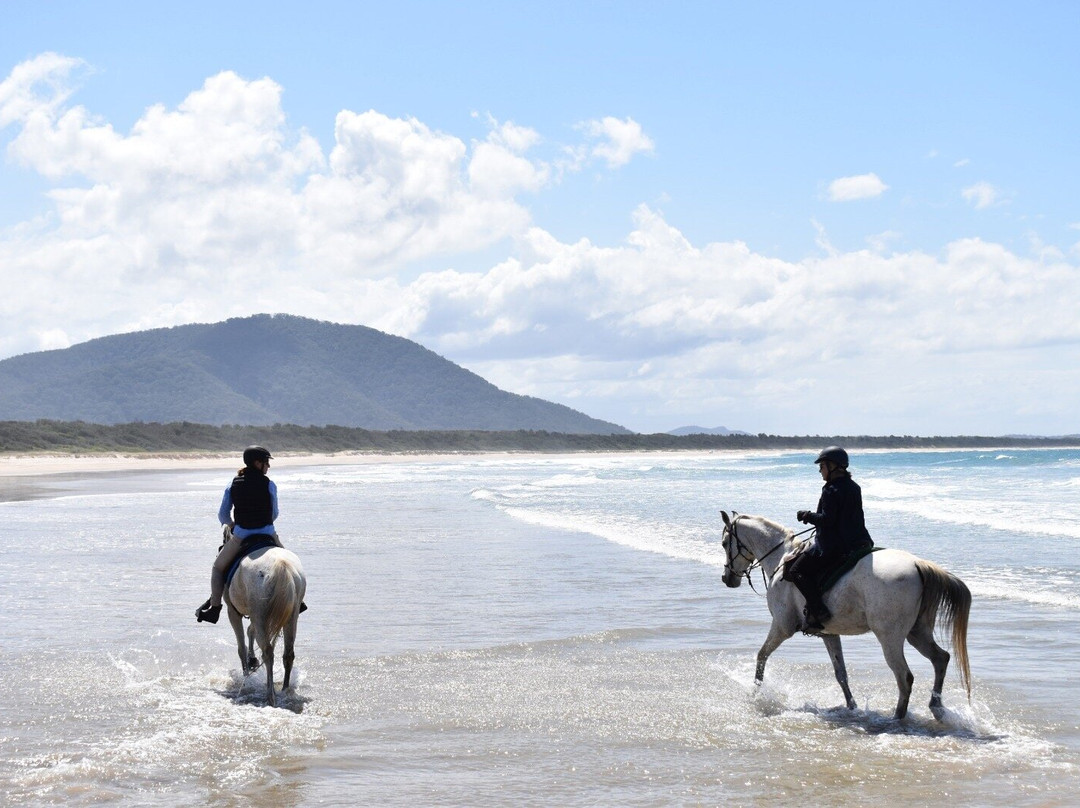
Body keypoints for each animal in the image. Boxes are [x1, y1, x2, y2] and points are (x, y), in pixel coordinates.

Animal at [224, 545, 306, 707]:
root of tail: (281, 565)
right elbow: (250, 631)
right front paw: (252, 660)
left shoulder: (233, 612)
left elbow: (241, 646)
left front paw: (247, 673)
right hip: (291, 615)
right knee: (288, 653)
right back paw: (284, 689)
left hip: (259, 613)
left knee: (267, 652)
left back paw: (270, 695)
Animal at [719, 511, 971, 720]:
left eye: (724, 543)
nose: (727, 579)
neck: (782, 558)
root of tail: (918, 564)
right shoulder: (829, 634)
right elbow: (841, 673)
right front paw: (852, 707)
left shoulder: (782, 627)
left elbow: (762, 656)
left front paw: (756, 693)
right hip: (917, 633)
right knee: (940, 659)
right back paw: (936, 707)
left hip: (890, 637)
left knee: (904, 677)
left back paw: (897, 720)